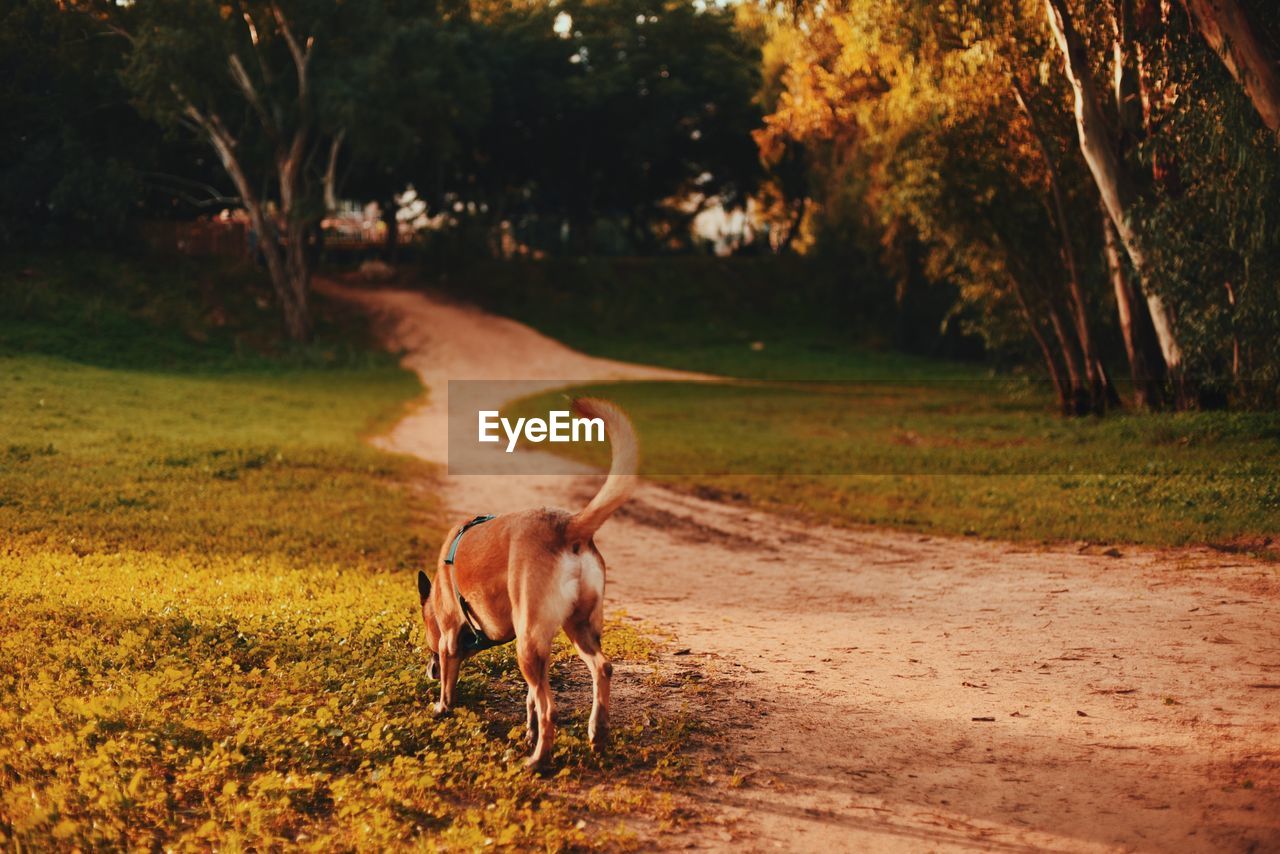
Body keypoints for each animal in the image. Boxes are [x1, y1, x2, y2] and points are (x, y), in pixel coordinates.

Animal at [419, 399, 640, 768]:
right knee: (600, 669)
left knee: (551, 708)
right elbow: (530, 700)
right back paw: (597, 733)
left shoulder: (449, 637)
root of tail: (569, 525)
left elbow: (450, 683)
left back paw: (540, 759)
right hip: (574, 630)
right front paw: (528, 730)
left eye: (428, 638)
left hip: (529, 642)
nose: (429, 671)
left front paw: (442, 707)